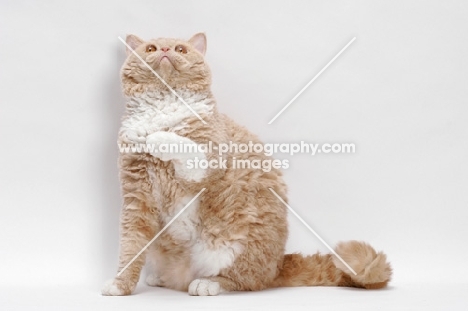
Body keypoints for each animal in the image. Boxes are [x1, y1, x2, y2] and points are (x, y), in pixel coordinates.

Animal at [102, 33, 392, 298]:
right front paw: (119, 285)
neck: (163, 105)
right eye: (150, 48)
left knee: (246, 281)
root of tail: (278, 265)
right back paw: (160, 277)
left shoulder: (206, 164)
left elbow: (178, 142)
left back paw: (207, 283)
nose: (164, 50)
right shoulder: (136, 197)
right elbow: (130, 248)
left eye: (180, 49)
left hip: (232, 248)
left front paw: (152, 136)